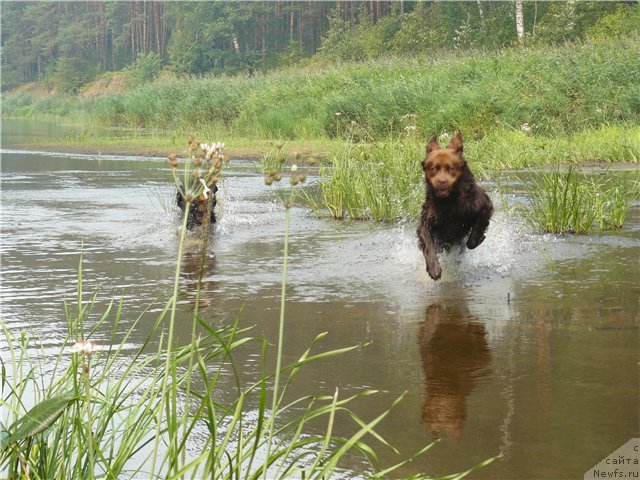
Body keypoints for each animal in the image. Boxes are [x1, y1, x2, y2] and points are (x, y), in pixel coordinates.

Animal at [418, 132, 492, 282]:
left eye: (451, 168)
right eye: (434, 168)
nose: (442, 181)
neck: (449, 200)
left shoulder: (482, 203)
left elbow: (478, 226)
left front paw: (477, 239)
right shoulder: (428, 219)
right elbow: (428, 242)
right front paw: (434, 269)